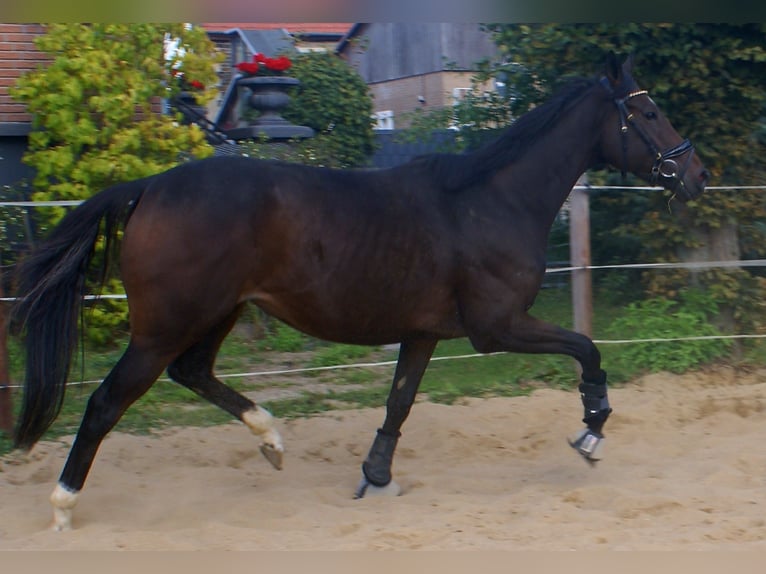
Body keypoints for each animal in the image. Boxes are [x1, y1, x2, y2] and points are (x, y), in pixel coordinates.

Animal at [10, 53, 709, 531]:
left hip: (217, 313)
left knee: (193, 373)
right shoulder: (498, 326)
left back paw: (271, 440)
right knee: (106, 403)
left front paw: (377, 480)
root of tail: (149, 187)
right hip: (164, 326)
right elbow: (588, 349)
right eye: (647, 112)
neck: (488, 200)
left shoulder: (424, 333)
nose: (696, 175)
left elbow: (399, 404)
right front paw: (591, 432)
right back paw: (64, 506)